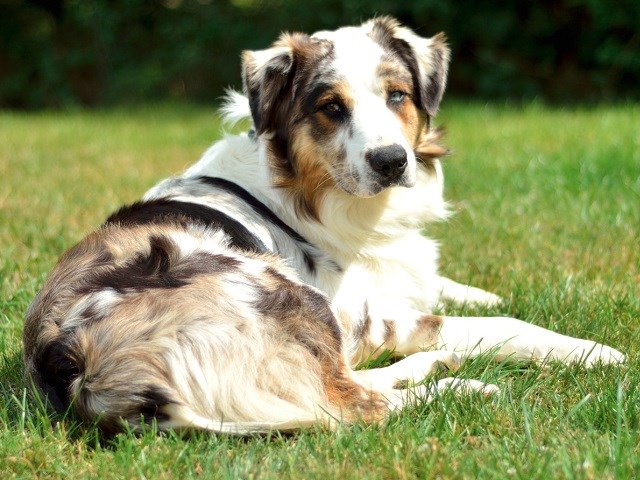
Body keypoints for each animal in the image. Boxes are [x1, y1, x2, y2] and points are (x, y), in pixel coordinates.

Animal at [21, 17, 624, 436]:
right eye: (331, 107)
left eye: (398, 95)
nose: (391, 161)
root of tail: (76, 365)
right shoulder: (364, 320)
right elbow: (503, 324)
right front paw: (594, 351)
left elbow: (447, 286)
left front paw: (480, 292)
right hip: (284, 295)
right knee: (353, 406)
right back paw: (459, 385)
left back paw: (432, 366)